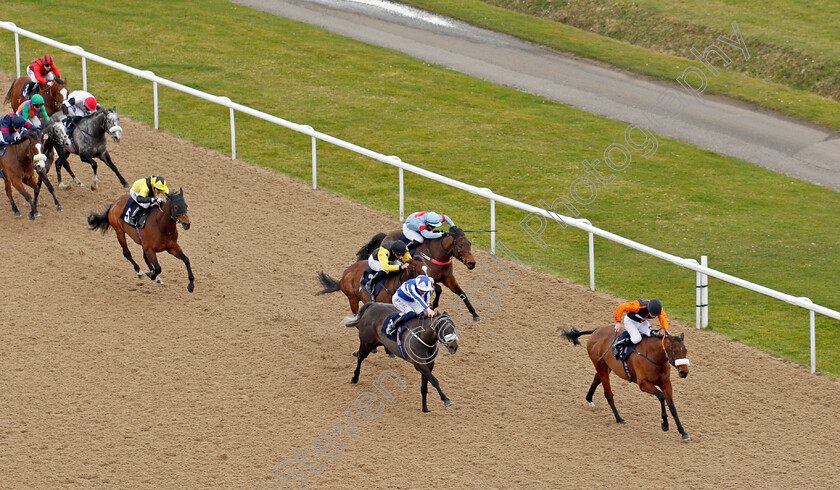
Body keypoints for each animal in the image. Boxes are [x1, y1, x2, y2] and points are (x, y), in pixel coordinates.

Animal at [354, 227, 482, 322]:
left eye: (469, 244)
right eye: (460, 245)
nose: (472, 263)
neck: (438, 255)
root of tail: (387, 235)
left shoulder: (448, 278)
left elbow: (462, 293)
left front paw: (475, 314)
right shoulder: (427, 279)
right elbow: (438, 289)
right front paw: (433, 304)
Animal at [560, 326, 692, 440]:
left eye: (685, 351)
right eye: (675, 351)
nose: (684, 372)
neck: (654, 357)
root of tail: (597, 330)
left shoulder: (666, 383)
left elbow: (672, 406)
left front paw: (683, 432)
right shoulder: (643, 384)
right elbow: (661, 396)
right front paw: (665, 424)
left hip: (606, 366)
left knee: (597, 378)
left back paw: (589, 399)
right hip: (600, 365)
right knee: (608, 393)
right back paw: (619, 418)